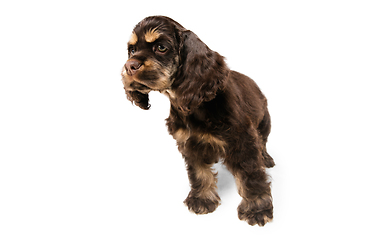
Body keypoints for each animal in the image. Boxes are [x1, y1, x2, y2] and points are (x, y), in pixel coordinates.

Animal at [121, 15, 274, 226]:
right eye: (132, 50)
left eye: (161, 47)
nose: (129, 66)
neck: (194, 106)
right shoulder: (189, 143)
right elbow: (199, 173)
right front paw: (202, 200)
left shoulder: (243, 141)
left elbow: (251, 176)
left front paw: (258, 209)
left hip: (264, 121)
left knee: (263, 142)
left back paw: (266, 158)